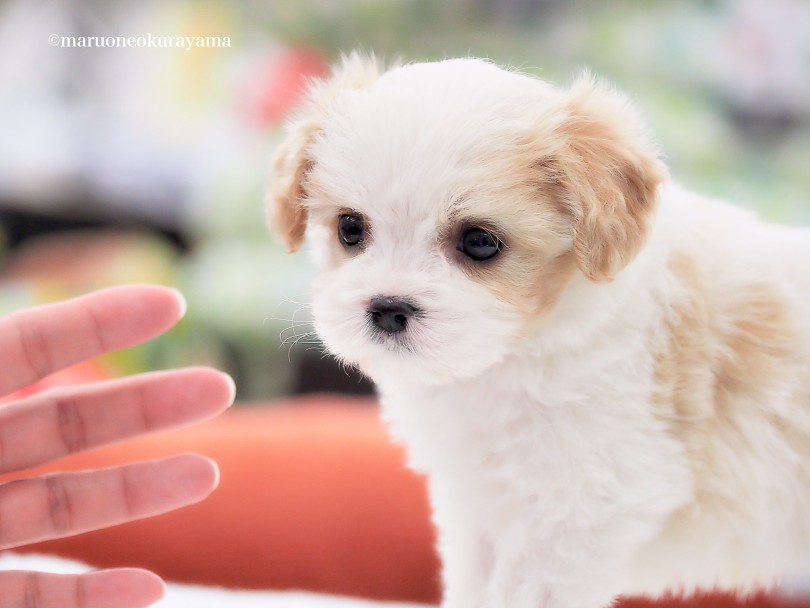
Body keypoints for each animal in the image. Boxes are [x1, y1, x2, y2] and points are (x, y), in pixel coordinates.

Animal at [266, 53, 808, 608]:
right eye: (350, 228)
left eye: (480, 241)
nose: (388, 309)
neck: (512, 357)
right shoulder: (479, 512)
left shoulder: (579, 513)